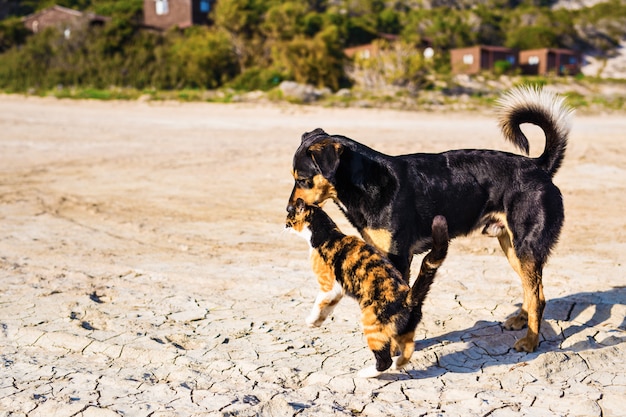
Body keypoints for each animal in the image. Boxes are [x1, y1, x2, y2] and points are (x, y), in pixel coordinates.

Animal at [286, 86, 572, 352]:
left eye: (303, 179)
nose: (288, 210)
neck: (367, 182)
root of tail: (538, 166)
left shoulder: (399, 258)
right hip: (511, 246)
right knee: (531, 289)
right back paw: (521, 320)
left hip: (525, 246)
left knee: (538, 297)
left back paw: (530, 341)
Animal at [286, 198, 446, 376]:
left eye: (289, 216)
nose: (284, 225)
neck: (327, 234)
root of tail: (408, 298)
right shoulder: (338, 290)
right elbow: (327, 307)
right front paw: (316, 322)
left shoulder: (327, 285)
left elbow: (318, 303)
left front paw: (310, 320)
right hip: (405, 331)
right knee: (408, 348)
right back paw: (398, 364)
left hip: (372, 326)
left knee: (384, 361)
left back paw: (366, 373)